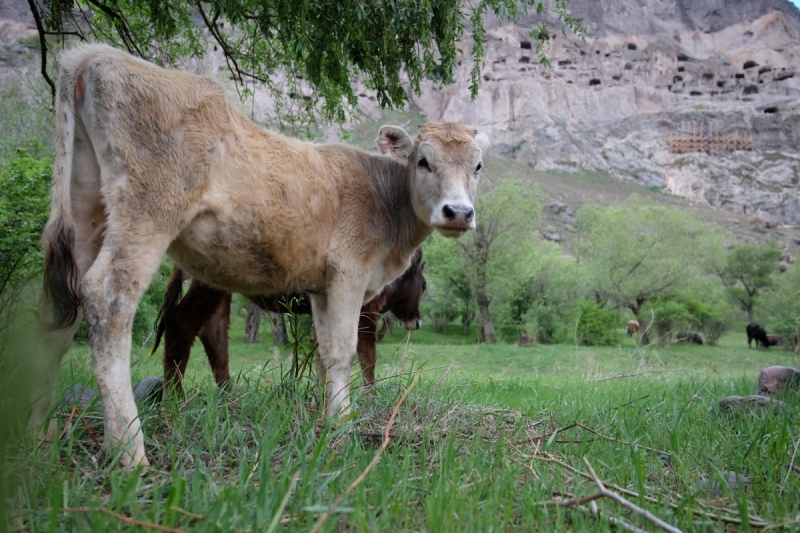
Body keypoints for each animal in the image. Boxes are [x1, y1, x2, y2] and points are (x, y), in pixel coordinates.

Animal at [152, 249, 424, 390]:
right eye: (423, 285)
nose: (417, 321)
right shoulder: (366, 313)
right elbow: (368, 358)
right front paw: (370, 393)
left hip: (217, 288)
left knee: (213, 335)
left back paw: (228, 395)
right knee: (182, 324)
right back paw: (175, 399)